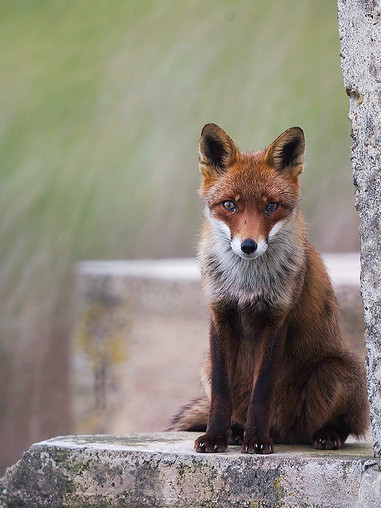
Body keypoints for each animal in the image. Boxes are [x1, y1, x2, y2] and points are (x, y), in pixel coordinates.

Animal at [168, 122, 368, 452]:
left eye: (271, 206)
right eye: (229, 205)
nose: (248, 246)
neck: (247, 284)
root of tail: (285, 432)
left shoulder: (276, 318)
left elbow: (261, 391)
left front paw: (258, 441)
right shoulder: (221, 313)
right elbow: (221, 394)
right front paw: (215, 437)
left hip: (336, 372)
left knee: (345, 426)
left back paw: (324, 434)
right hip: (207, 365)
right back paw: (236, 431)